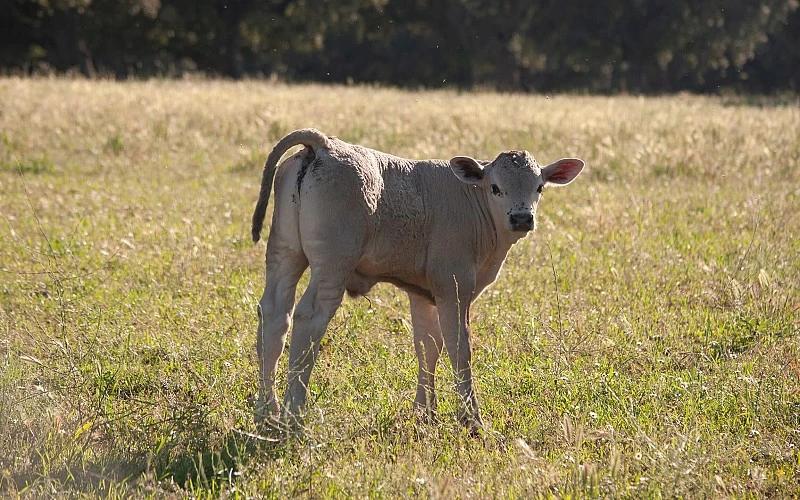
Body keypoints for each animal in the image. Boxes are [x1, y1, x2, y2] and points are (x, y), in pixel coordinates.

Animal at [250, 130, 580, 434]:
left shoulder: (424, 293)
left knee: (275, 316)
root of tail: (324, 144)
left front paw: (425, 414)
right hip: (333, 264)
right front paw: (471, 420)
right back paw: (294, 415)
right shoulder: (454, 286)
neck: (474, 202)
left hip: (285, 252)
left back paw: (268, 412)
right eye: (496, 187)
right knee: (309, 317)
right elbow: (459, 347)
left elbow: (428, 346)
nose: (522, 218)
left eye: (539, 187)